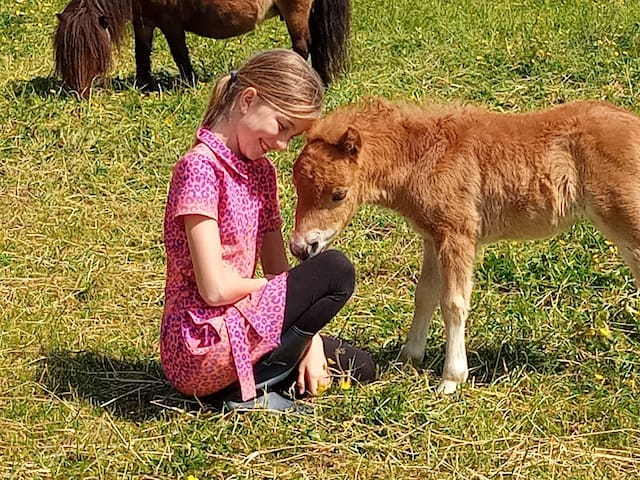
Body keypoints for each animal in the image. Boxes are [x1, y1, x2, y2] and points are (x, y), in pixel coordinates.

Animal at [54, 0, 350, 95]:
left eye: (91, 52)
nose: (78, 92)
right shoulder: (144, 22)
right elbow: (142, 53)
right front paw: (144, 84)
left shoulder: (171, 23)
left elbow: (179, 54)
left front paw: (189, 83)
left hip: (295, 12)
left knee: (301, 47)